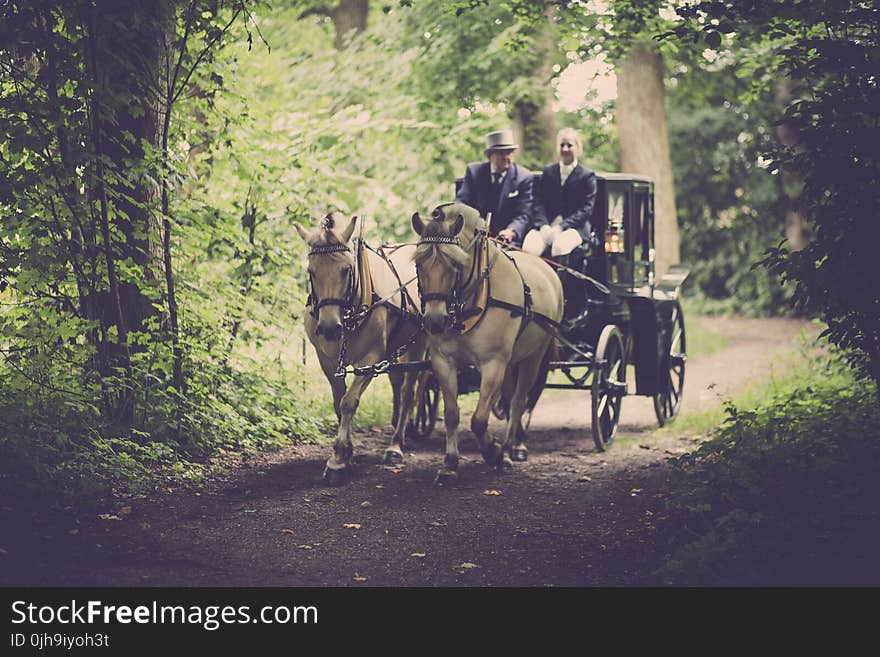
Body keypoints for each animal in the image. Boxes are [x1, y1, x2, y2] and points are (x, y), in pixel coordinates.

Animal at [296, 213, 426, 484]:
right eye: (311, 271)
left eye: (346, 270)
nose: (329, 327)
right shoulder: (326, 359)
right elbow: (338, 401)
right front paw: (348, 453)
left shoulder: (370, 359)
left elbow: (349, 402)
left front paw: (337, 460)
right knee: (397, 382)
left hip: (420, 343)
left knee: (409, 392)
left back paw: (396, 445)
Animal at [412, 201, 564, 482]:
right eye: (419, 264)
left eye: (455, 264)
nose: (435, 321)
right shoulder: (443, 361)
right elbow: (452, 414)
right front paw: (450, 463)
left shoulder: (494, 363)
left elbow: (479, 419)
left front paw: (493, 452)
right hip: (512, 360)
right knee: (511, 395)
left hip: (533, 356)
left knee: (519, 399)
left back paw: (513, 446)